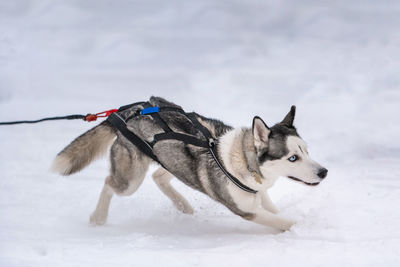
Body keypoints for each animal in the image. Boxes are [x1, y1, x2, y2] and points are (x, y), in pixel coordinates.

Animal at [51, 97, 326, 232]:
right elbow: (283, 222)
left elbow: (273, 209)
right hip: (131, 179)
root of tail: (129, 112)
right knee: (110, 183)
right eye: (293, 157)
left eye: (306, 150)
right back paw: (98, 217)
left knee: (159, 177)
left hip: (172, 159)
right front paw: (302, 229)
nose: (324, 172)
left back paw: (182, 204)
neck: (243, 163)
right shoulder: (245, 210)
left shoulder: (260, 193)